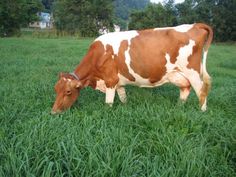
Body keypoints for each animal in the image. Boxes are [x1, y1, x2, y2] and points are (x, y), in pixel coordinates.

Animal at [52, 22, 214, 113]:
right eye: (56, 89)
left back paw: (202, 112)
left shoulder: (110, 80)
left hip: (192, 72)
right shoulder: (118, 82)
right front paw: (125, 108)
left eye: (68, 91)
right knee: (185, 88)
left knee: (201, 91)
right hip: (178, 74)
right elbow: (123, 97)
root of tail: (195, 25)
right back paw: (178, 108)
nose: (53, 112)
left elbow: (108, 103)